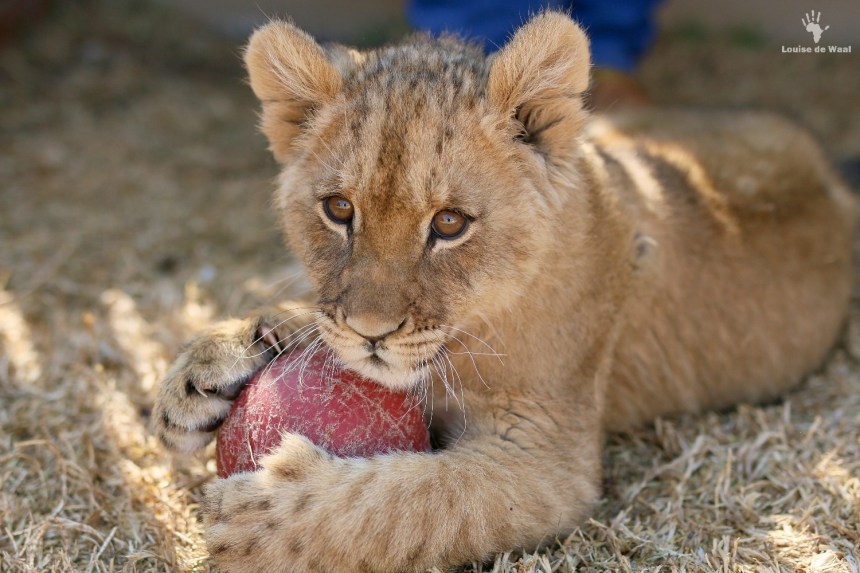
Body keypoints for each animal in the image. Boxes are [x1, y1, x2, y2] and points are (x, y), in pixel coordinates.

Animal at [153, 12, 856, 572]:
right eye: (339, 209)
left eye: (449, 224)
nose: (370, 333)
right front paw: (208, 368)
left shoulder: (549, 458)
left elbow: (415, 500)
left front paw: (260, 519)